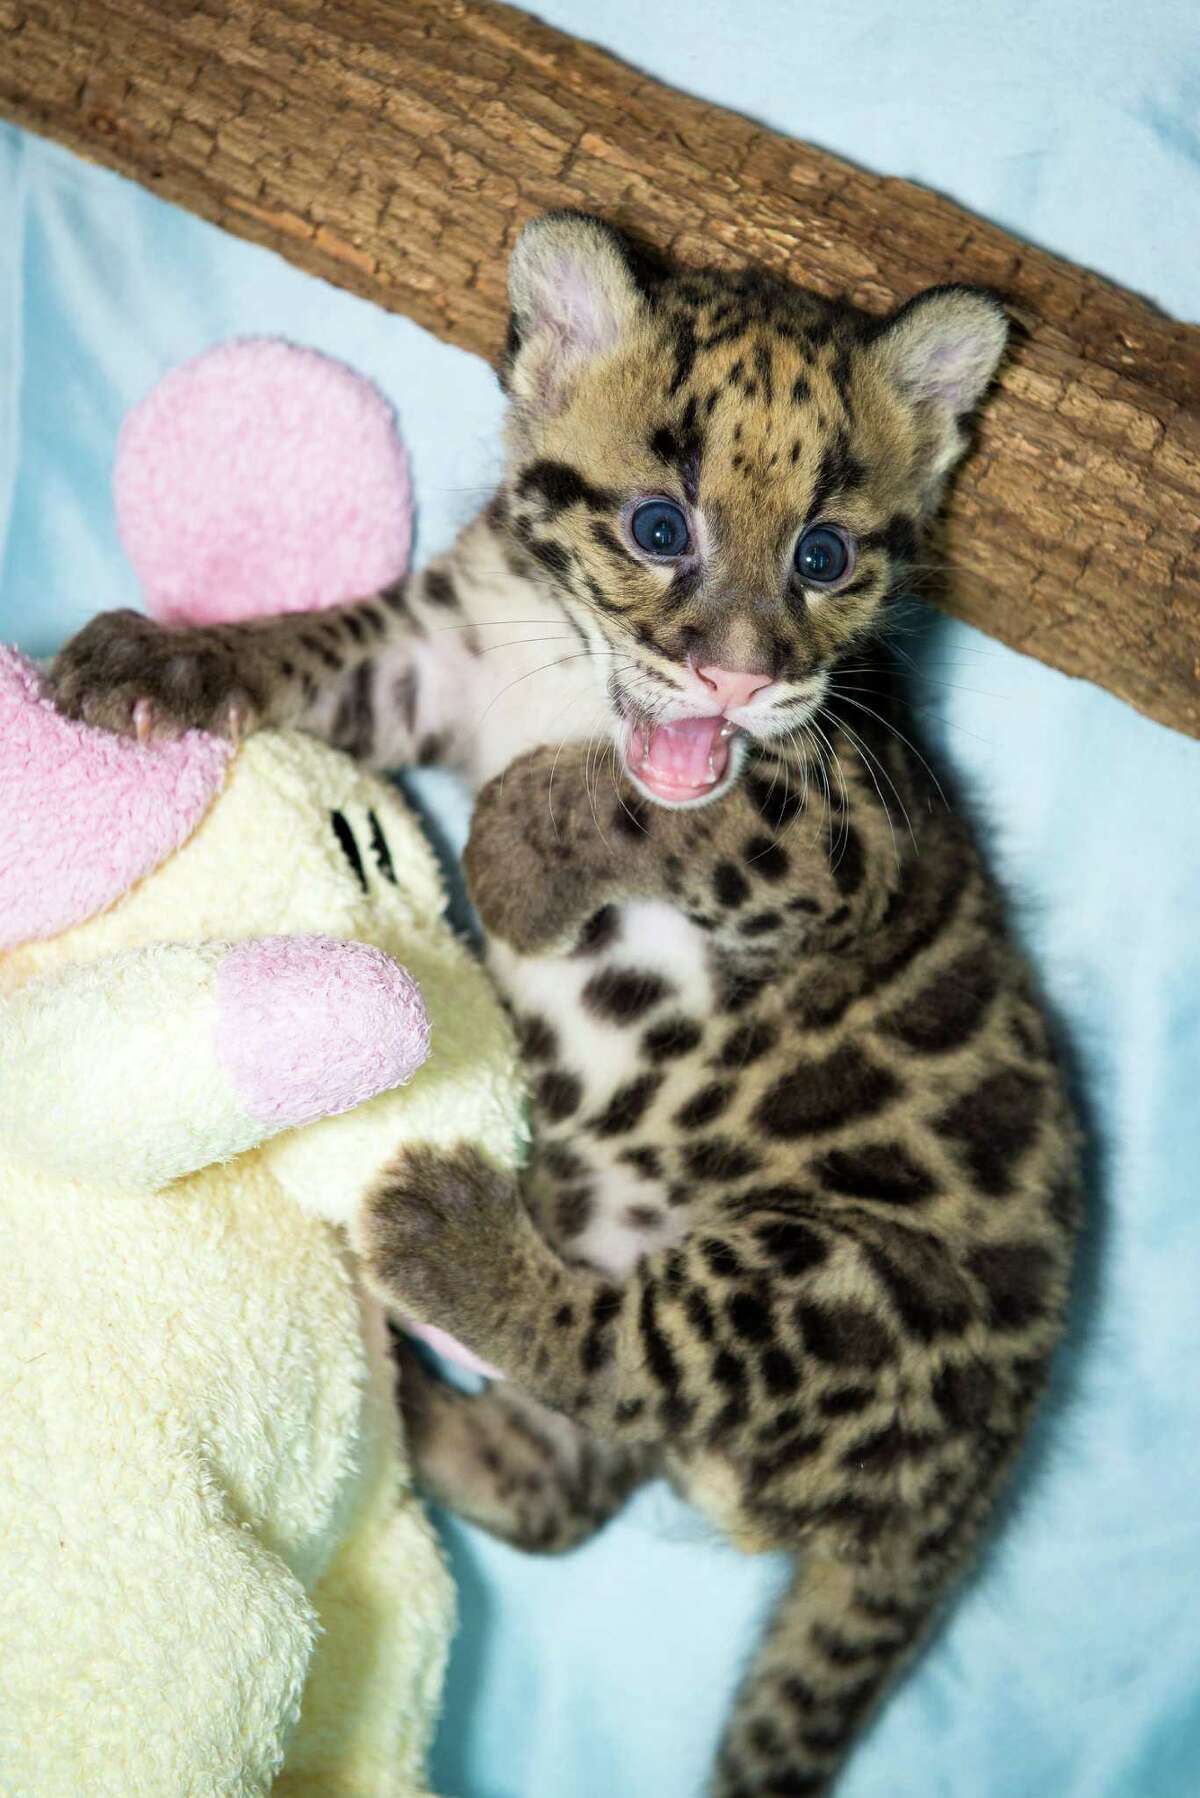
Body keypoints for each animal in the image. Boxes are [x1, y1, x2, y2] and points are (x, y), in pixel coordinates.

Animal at [52, 213, 1082, 1796]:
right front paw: (166, 659)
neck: (568, 682)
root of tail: (971, 1491)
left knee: (629, 1354)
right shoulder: (423, 654)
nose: (741, 672)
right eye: (661, 528)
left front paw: (512, 868)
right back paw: (421, 1412)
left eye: (827, 555)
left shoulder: (848, 830)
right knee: (571, 1477)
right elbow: (305, 648)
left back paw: (439, 1237)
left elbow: (666, 804)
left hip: (835, 1283)